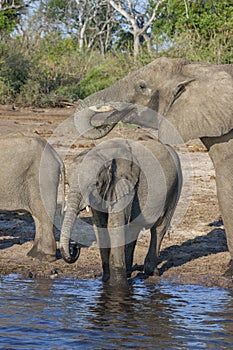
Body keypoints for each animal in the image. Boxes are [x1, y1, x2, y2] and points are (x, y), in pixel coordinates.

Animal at [0, 133, 64, 262]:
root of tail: (55, 154)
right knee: (37, 215)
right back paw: (34, 254)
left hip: (42, 176)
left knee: (43, 214)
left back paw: (45, 257)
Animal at [59, 137, 182, 284]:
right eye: (68, 184)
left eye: (95, 184)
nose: (75, 247)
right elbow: (101, 226)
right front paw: (105, 280)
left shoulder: (123, 185)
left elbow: (115, 225)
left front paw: (118, 285)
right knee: (134, 228)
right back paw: (129, 272)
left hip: (175, 186)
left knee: (159, 228)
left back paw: (151, 272)